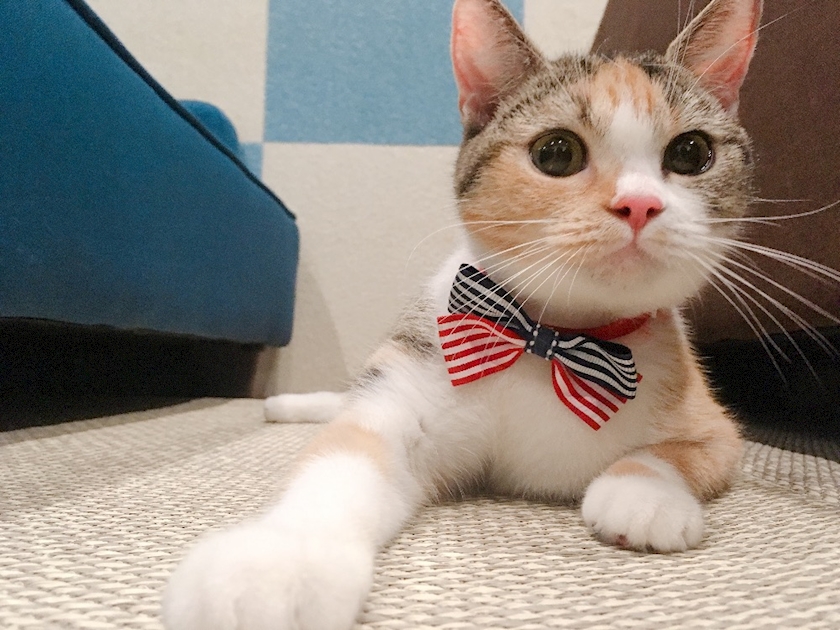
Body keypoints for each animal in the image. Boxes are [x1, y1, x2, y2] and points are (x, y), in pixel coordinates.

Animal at [164, 0, 764, 627]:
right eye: (557, 152)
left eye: (691, 153)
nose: (640, 204)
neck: (554, 336)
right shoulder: (409, 384)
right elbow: (350, 454)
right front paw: (274, 564)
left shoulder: (714, 424)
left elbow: (678, 454)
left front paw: (643, 494)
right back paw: (291, 404)